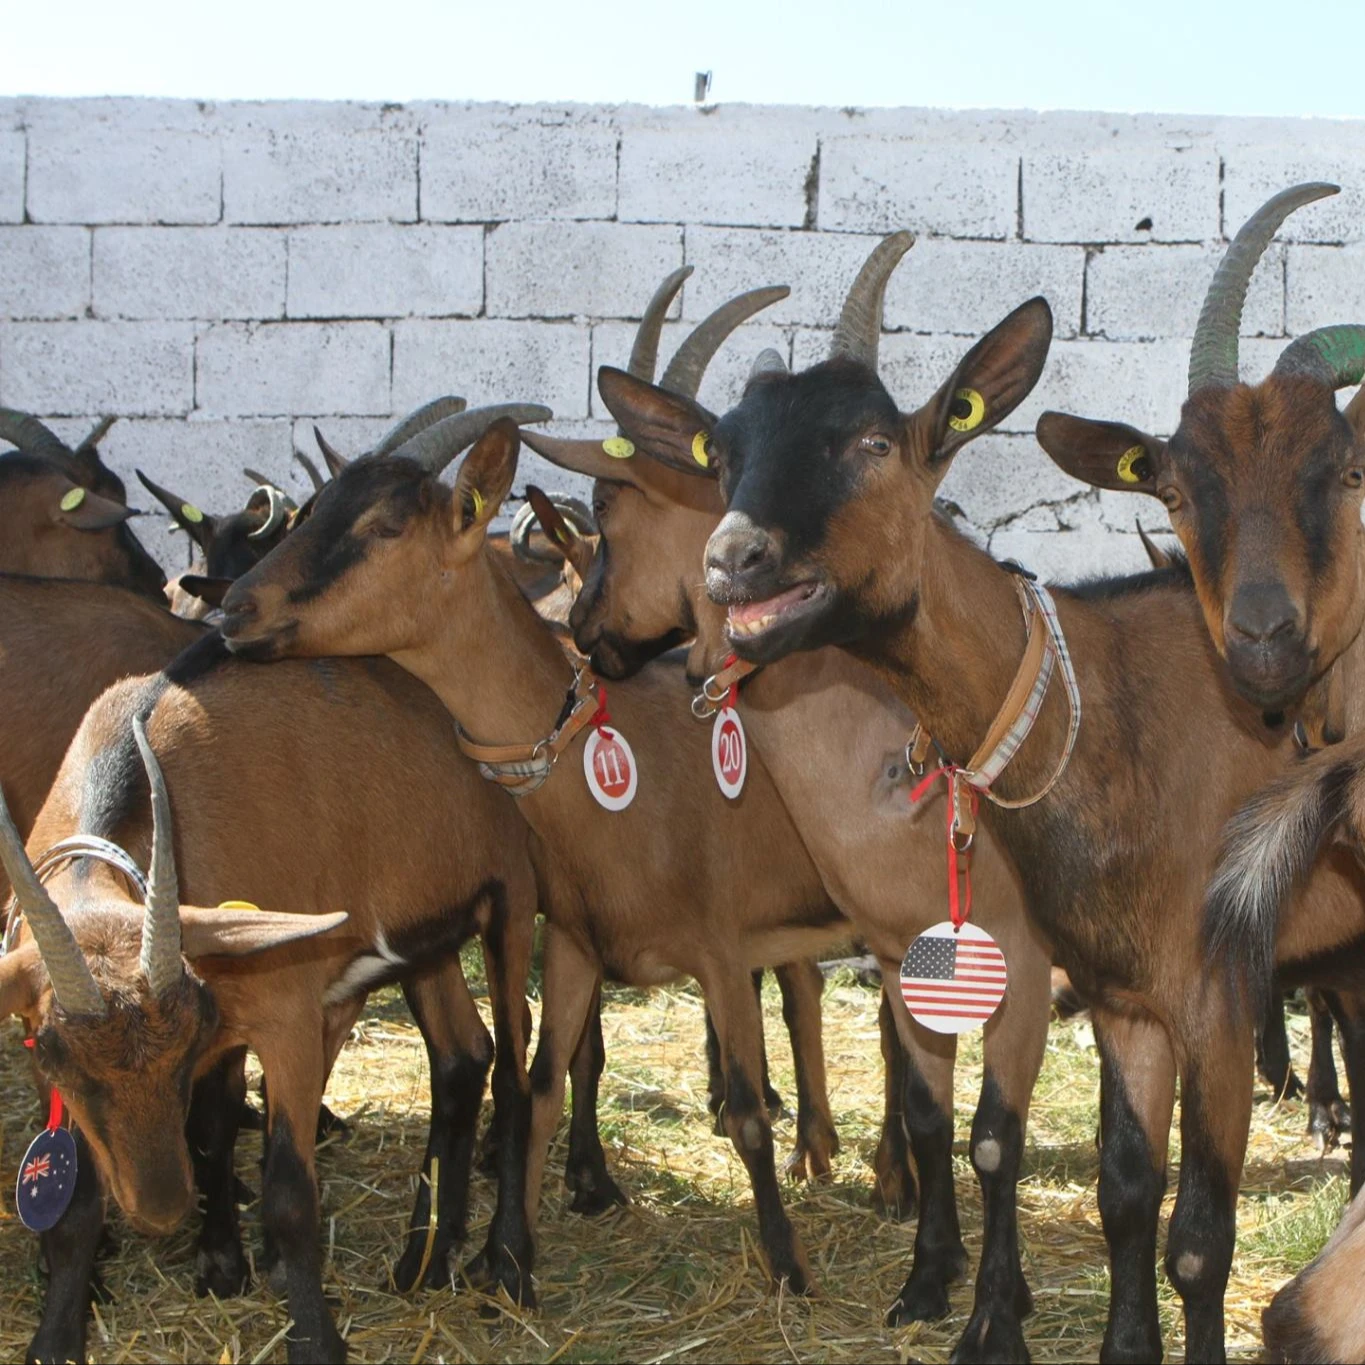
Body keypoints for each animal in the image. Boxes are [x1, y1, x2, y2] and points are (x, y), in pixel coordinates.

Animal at [219, 418, 873, 1304]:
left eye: (384, 527)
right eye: (311, 510)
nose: (232, 607)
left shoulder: (719, 946)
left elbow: (742, 1111)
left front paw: (787, 1264)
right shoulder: (571, 940)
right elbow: (537, 1084)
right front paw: (506, 1262)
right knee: (811, 988)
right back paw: (827, 1150)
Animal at [593, 232, 1365, 1362]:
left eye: (875, 442)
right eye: (723, 458)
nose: (734, 560)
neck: (1108, 712)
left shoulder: (1209, 999)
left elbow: (1189, 1238)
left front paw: (990, 1316)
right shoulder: (1120, 996)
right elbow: (1122, 1191)